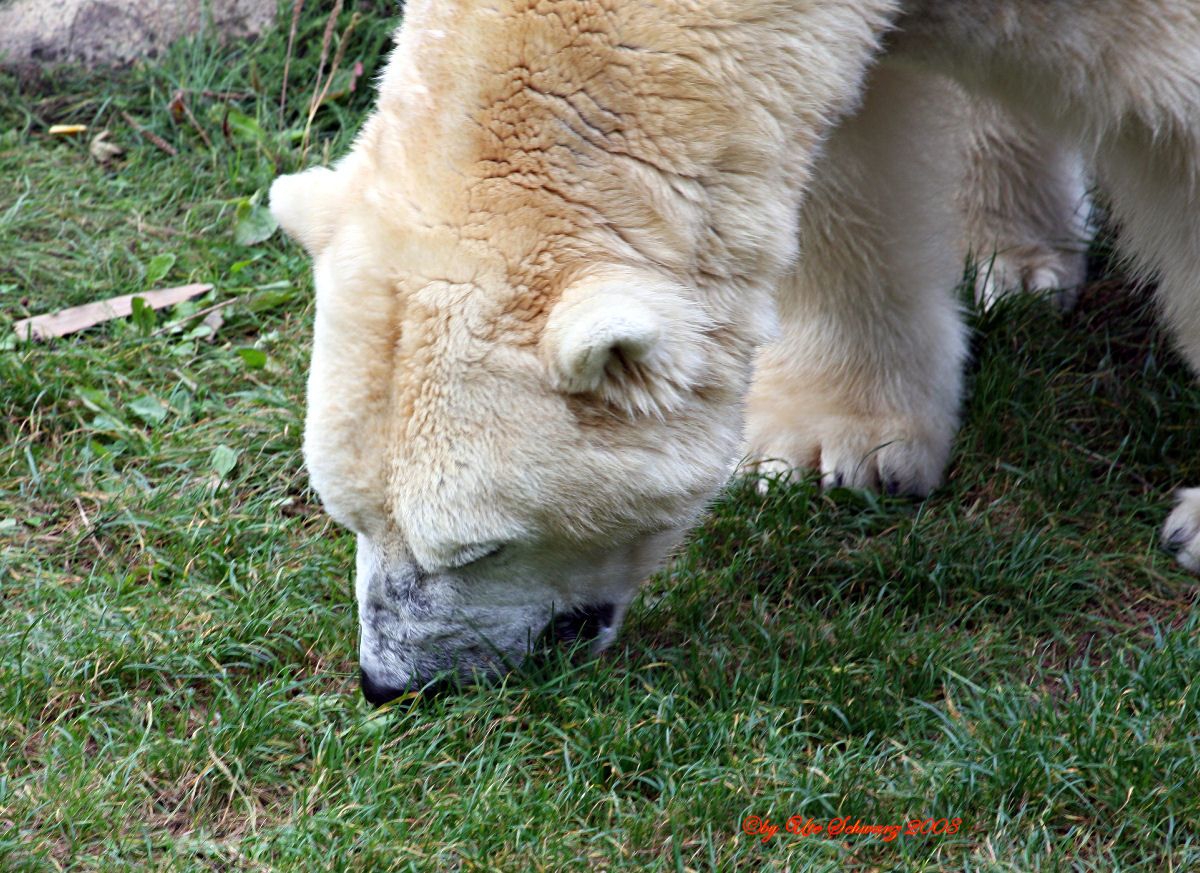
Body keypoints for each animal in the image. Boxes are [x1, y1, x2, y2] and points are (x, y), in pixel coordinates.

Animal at [270, 0, 1200, 705]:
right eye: (350, 514)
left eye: (477, 547)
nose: (390, 680)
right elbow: (842, 162)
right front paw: (835, 446)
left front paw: (1193, 523)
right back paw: (1008, 253)